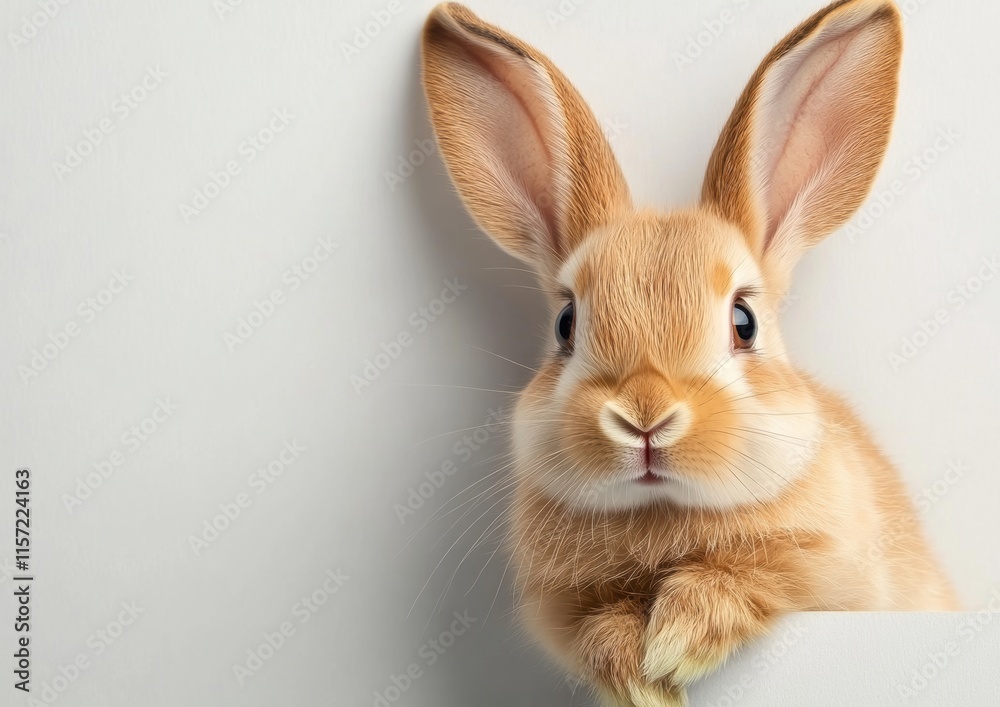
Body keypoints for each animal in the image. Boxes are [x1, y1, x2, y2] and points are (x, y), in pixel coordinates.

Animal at [420, 0, 959, 704]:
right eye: (566, 324)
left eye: (744, 322)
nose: (644, 417)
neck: (663, 513)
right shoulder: (563, 607)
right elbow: (597, 626)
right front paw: (637, 676)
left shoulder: (827, 569)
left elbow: (754, 576)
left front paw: (674, 644)